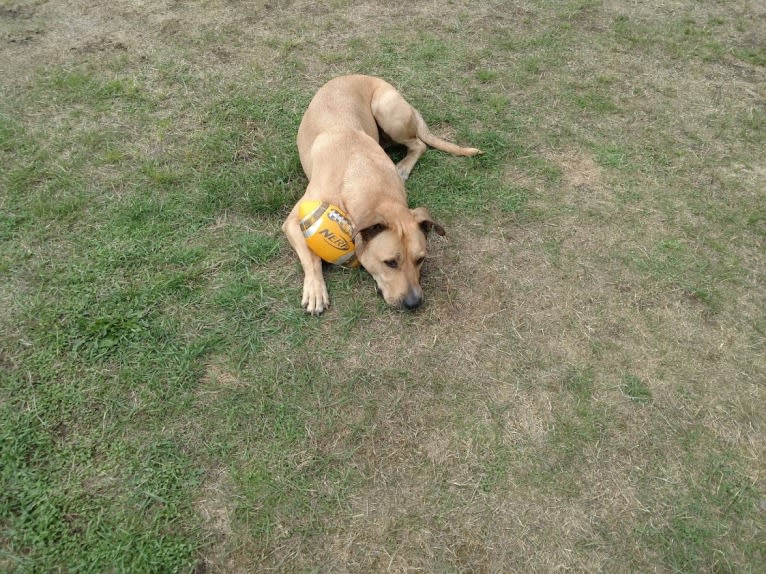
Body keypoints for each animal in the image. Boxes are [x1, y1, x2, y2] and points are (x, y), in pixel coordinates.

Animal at [284, 75, 484, 318]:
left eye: (420, 259)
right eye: (390, 263)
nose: (414, 303)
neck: (367, 177)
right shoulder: (293, 221)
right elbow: (310, 256)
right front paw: (315, 290)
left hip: (388, 113)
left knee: (418, 143)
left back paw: (404, 166)